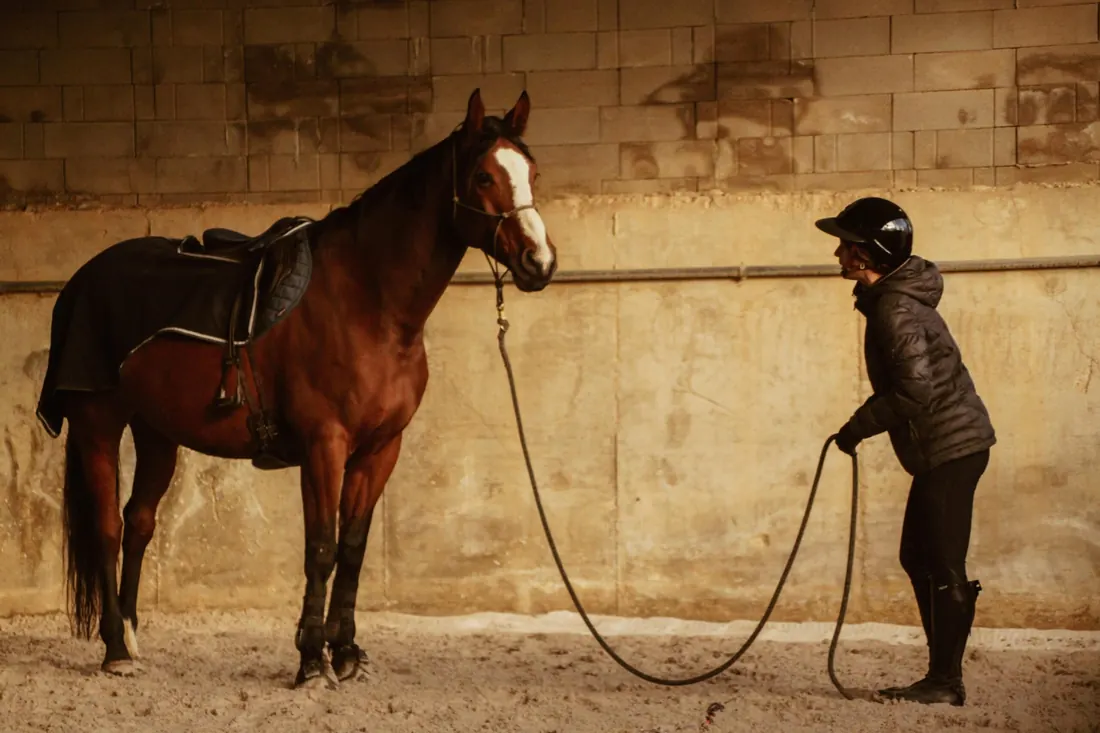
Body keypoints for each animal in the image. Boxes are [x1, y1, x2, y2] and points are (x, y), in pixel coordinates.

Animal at [32, 88, 558, 689]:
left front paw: (346, 653)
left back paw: (132, 635)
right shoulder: (324, 445)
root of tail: (81, 280)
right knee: (107, 529)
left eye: (532, 171)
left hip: (157, 433)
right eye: (484, 176)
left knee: (138, 523)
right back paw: (116, 648)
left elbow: (352, 549)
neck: (367, 302)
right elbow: (321, 548)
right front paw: (311, 660)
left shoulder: (380, 449)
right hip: (98, 425)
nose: (540, 262)